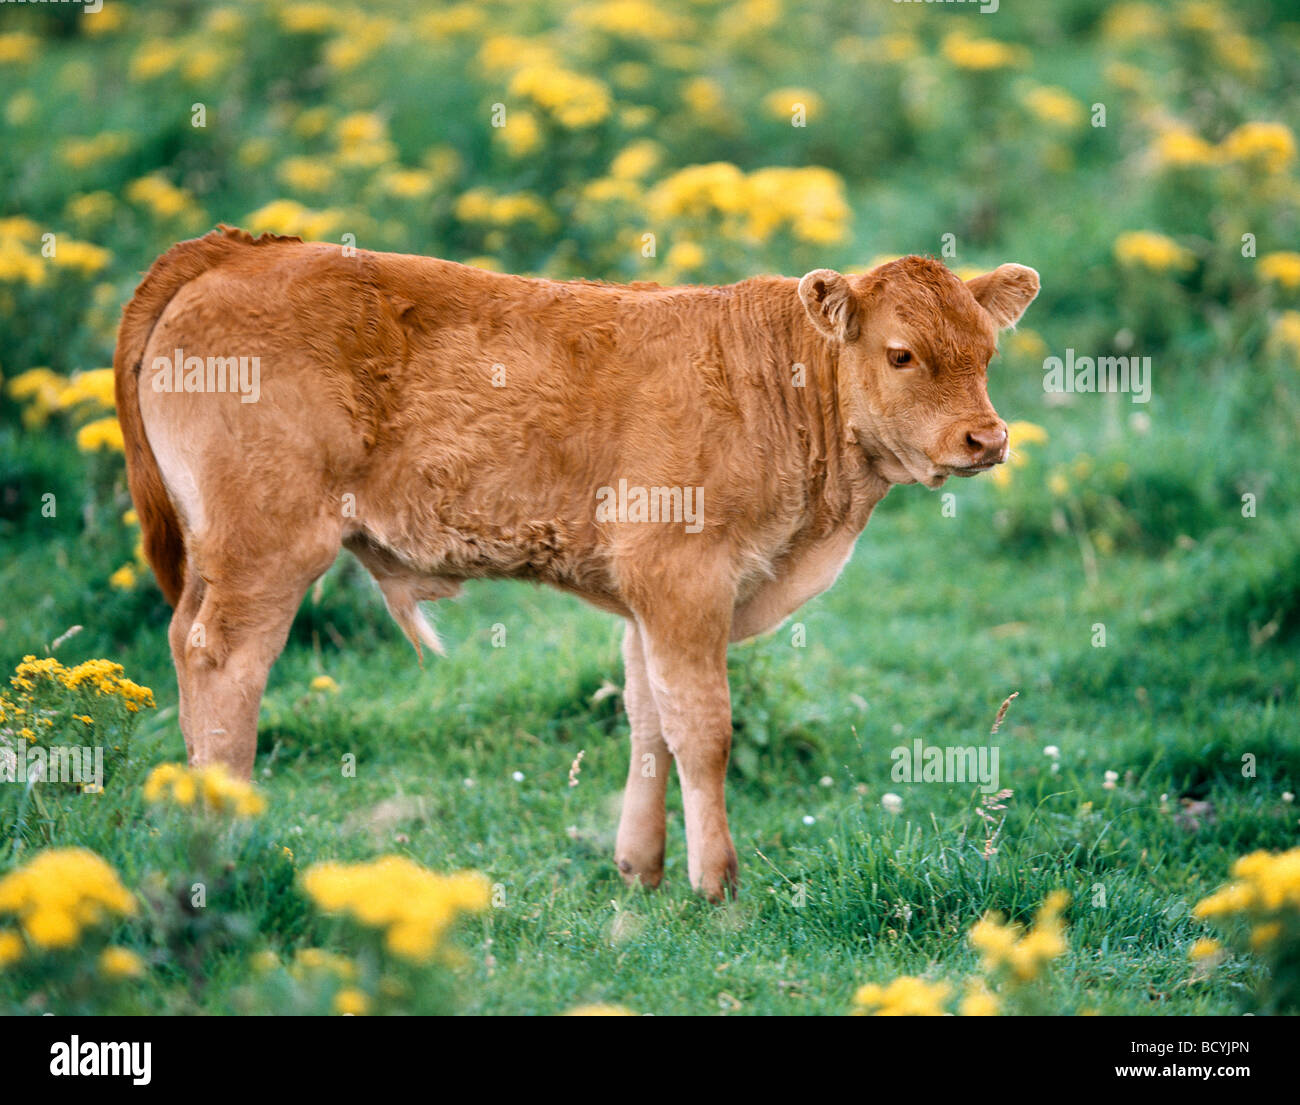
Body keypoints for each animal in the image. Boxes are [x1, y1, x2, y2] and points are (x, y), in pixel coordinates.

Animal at [114, 226, 1039, 901]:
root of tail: (241, 248)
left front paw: (641, 867)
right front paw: (716, 881)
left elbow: (648, 717)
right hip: (266, 545)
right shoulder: (684, 578)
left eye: (988, 354)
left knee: (183, 645)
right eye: (901, 353)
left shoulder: (646, 597)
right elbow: (704, 729)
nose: (986, 438)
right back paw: (228, 835)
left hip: (213, 553)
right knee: (225, 662)